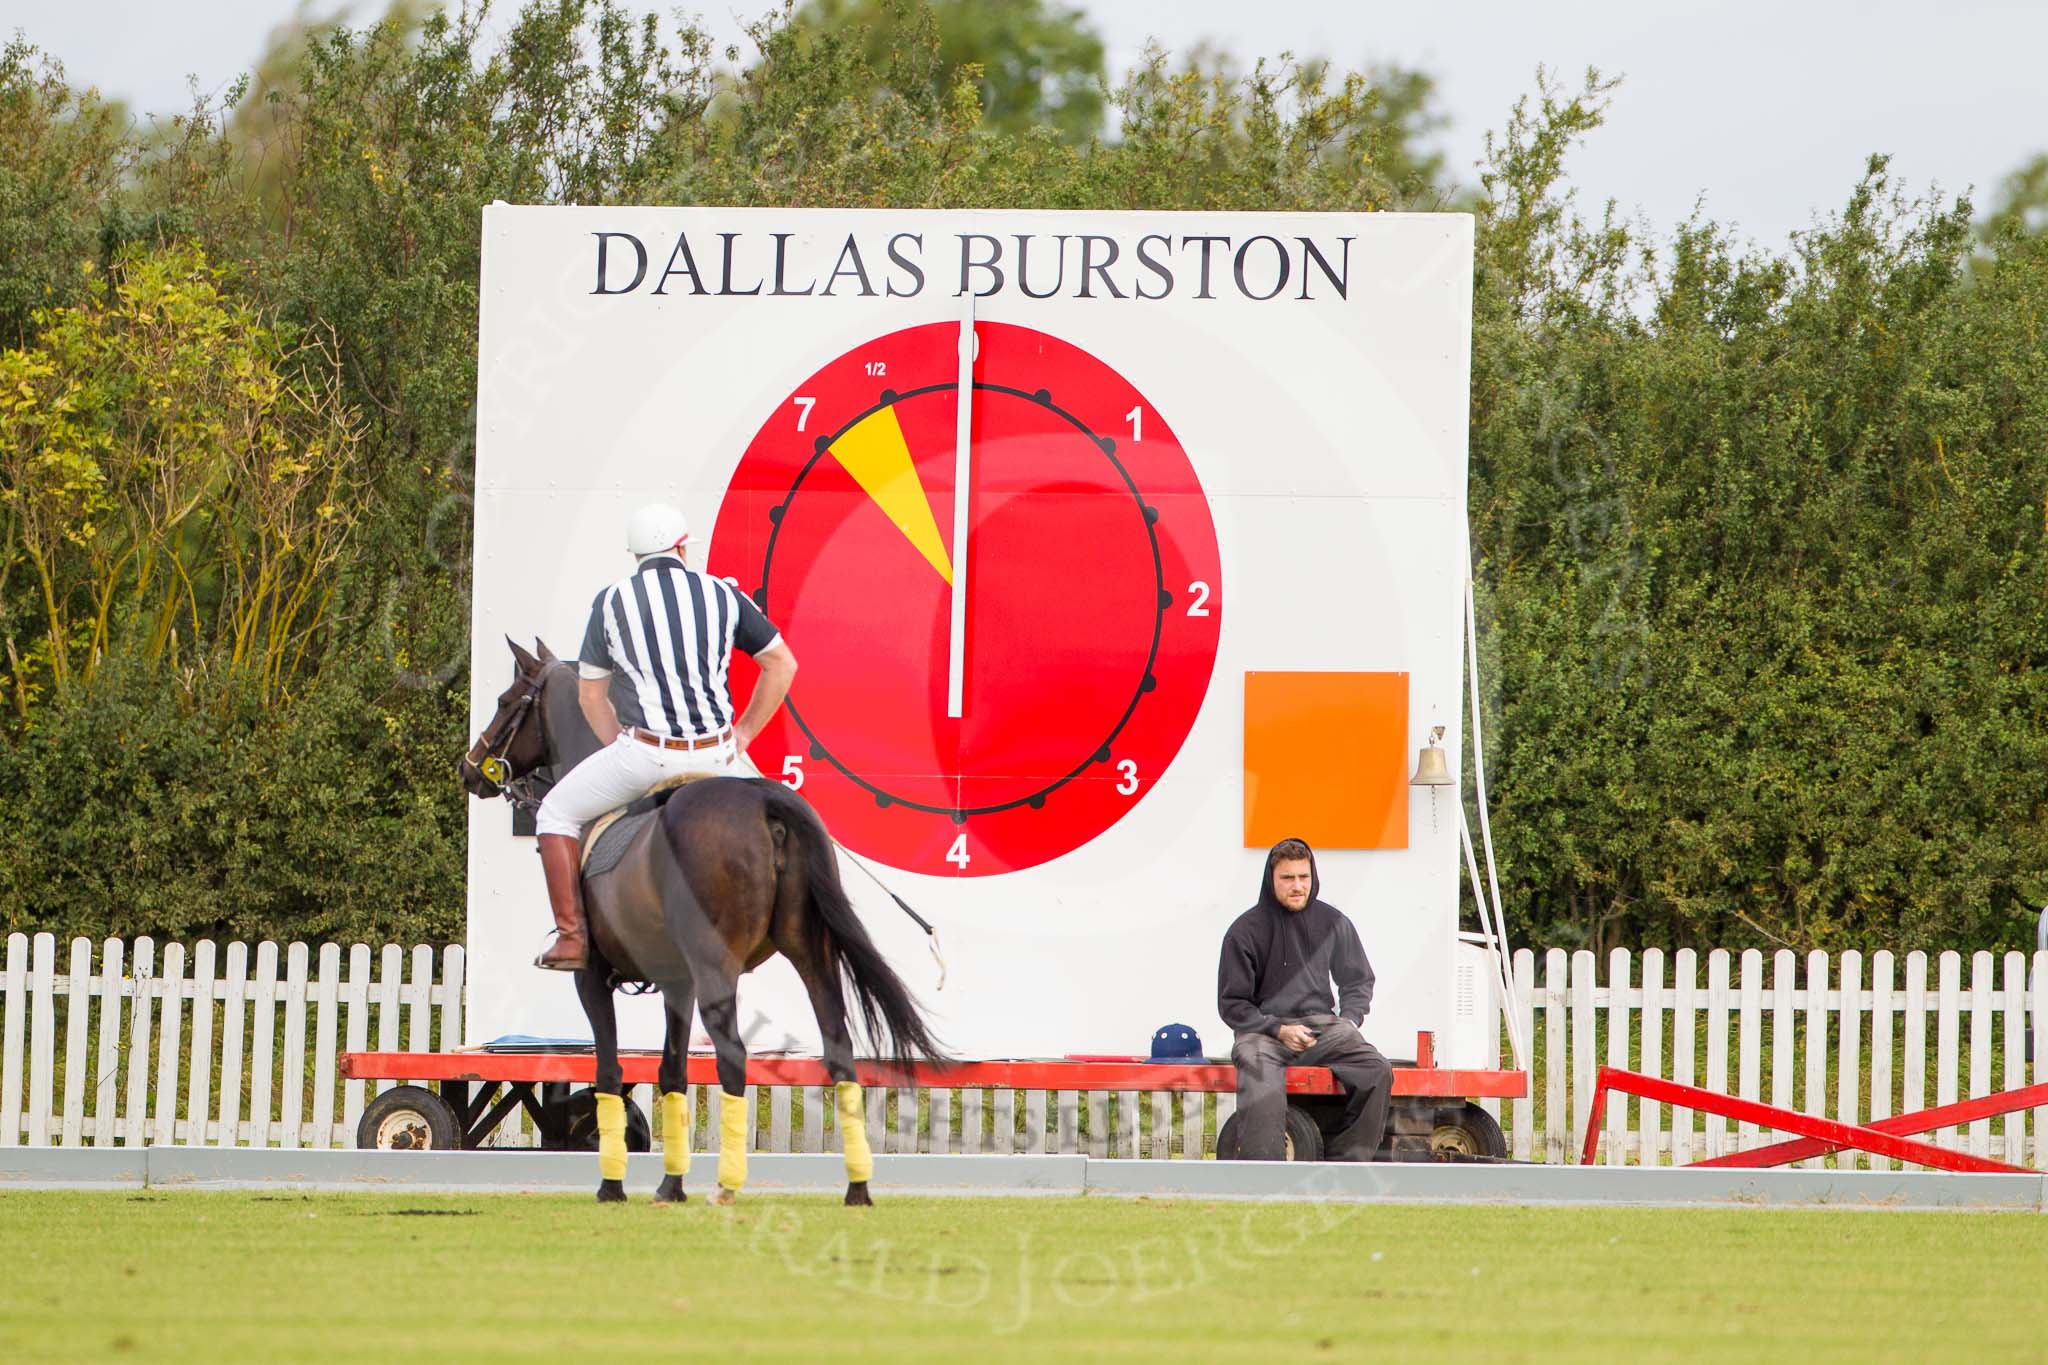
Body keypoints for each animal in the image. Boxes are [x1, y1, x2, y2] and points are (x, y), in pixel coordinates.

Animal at [458, 642, 942, 1203]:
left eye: (505, 700)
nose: (470, 769)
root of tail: (764, 801)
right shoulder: (676, 981)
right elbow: (672, 1072)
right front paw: (670, 1185)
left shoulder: (593, 978)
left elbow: (609, 1071)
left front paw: (612, 1185)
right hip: (809, 954)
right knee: (839, 1053)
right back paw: (856, 1190)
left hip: (719, 967)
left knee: (733, 1057)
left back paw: (727, 1187)